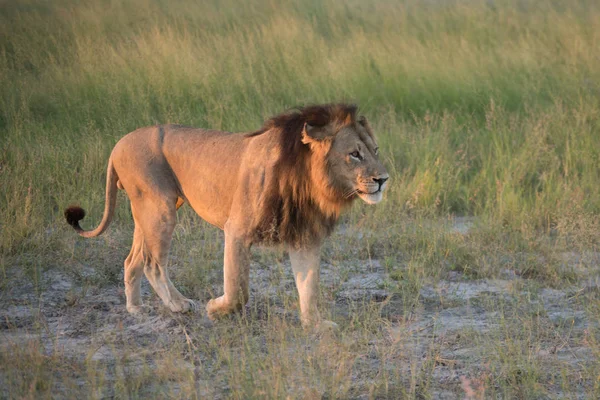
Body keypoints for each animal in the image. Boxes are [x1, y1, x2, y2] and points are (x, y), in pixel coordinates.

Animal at [64, 102, 390, 328]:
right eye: (355, 154)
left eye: (375, 149)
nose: (383, 179)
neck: (308, 182)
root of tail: (119, 143)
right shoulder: (237, 230)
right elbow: (238, 291)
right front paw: (214, 307)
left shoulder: (304, 236)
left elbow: (309, 286)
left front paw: (315, 325)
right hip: (160, 209)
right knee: (153, 265)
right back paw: (179, 305)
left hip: (147, 211)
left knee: (132, 259)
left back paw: (135, 309)